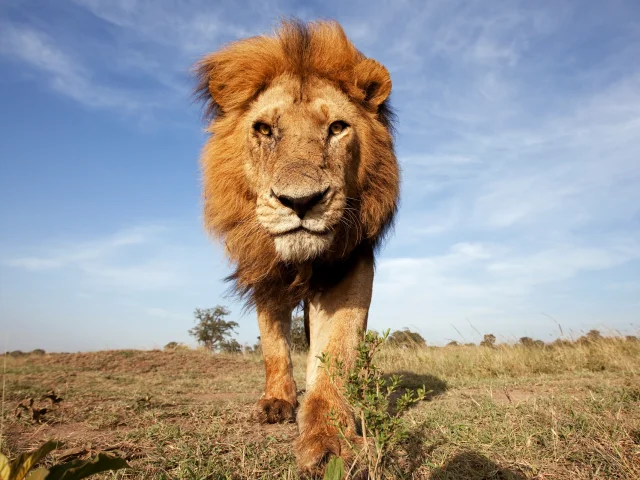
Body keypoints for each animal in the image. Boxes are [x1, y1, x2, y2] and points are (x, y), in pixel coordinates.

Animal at [194, 19, 399, 473]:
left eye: (337, 128)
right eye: (264, 129)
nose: (301, 202)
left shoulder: (349, 268)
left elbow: (337, 354)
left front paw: (330, 440)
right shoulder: (265, 277)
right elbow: (274, 346)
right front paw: (277, 402)